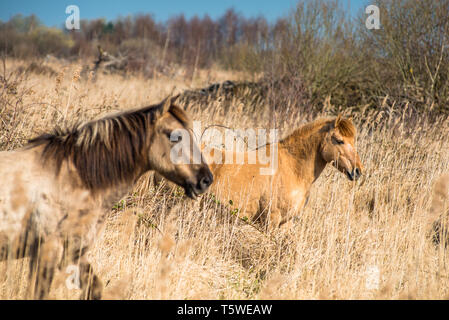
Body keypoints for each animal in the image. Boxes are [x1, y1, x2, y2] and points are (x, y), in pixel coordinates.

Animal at [0, 96, 213, 298]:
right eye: (175, 136)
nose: (206, 179)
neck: (72, 179)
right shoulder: (47, 250)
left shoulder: (75, 252)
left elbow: (94, 288)